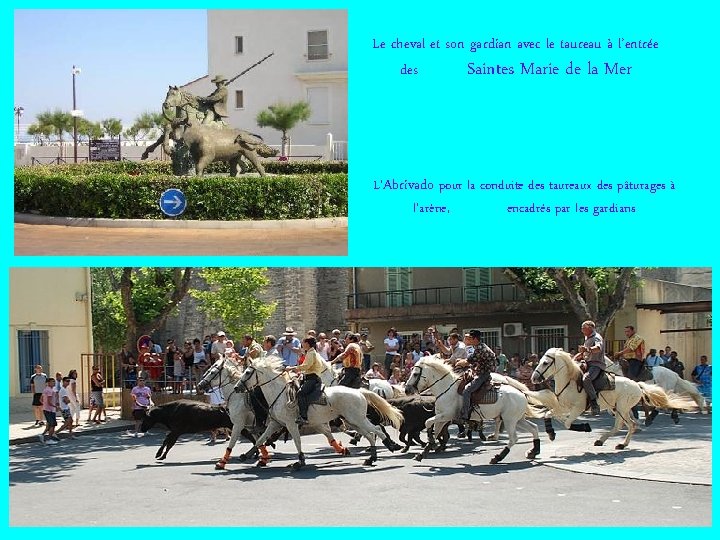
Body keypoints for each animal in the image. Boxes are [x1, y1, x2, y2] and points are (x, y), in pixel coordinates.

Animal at [236, 354, 404, 468]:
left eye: (248, 372)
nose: (237, 387)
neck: (280, 394)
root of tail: (360, 391)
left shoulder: (291, 424)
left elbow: (297, 441)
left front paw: (300, 461)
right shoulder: (276, 424)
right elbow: (260, 439)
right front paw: (246, 455)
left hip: (358, 419)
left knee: (376, 430)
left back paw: (390, 446)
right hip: (354, 421)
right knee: (369, 434)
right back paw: (371, 457)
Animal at [404, 358, 540, 464]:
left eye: (415, 374)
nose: (406, 389)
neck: (447, 389)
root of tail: (522, 393)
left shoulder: (447, 415)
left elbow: (428, 423)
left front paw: (431, 444)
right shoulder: (441, 417)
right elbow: (435, 430)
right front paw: (424, 451)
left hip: (509, 420)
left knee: (513, 439)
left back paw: (497, 457)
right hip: (518, 419)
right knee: (534, 428)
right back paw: (534, 451)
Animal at [532, 348, 696, 450]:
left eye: (545, 363)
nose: (534, 378)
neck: (570, 381)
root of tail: (637, 385)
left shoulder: (577, 408)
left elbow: (566, 424)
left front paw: (585, 427)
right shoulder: (562, 406)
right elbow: (548, 414)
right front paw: (551, 433)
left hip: (622, 408)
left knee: (629, 424)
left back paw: (621, 442)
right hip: (617, 408)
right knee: (623, 425)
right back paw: (606, 441)